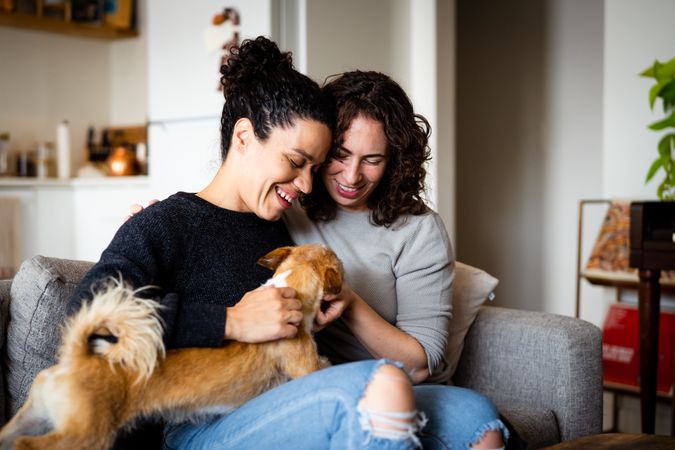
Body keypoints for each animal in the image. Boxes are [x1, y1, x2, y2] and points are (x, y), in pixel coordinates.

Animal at [0, 246, 340, 450]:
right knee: (27, 445)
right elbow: (323, 365)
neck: (289, 287)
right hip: (85, 435)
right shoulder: (306, 367)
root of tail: (76, 357)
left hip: (32, 418)